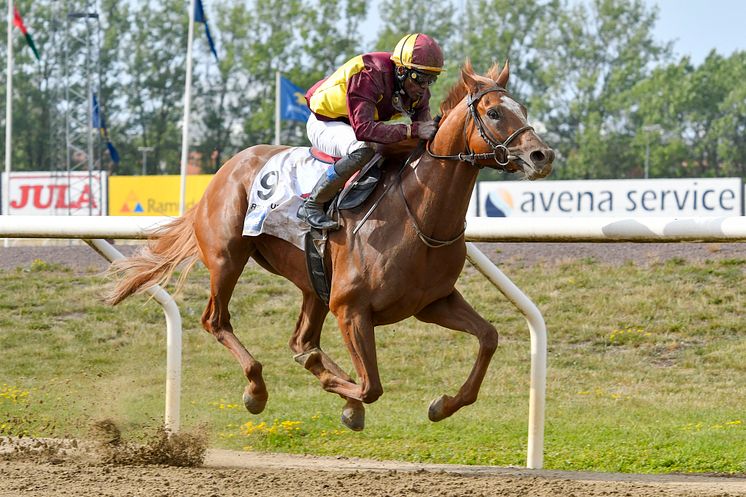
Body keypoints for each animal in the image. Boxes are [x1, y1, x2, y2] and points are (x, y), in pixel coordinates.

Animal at [109, 60, 552, 428]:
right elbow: (371, 385)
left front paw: (442, 405)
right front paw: (344, 394)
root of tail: (225, 169)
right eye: (494, 112)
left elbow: (488, 338)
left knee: (302, 340)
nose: (541, 155)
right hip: (227, 258)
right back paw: (257, 390)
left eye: (523, 111)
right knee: (216, 321)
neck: (418, 215)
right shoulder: (351, 309)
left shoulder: (432, 302)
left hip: (313, 281)